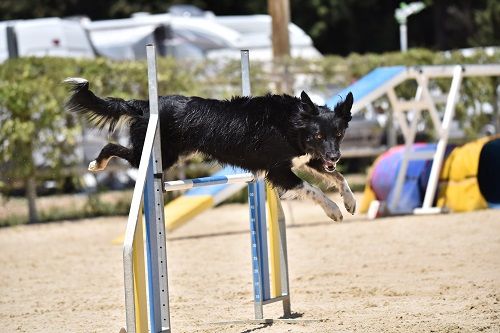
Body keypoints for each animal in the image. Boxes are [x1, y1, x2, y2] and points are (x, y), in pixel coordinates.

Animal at [65, 78, 356, 220]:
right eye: (318, 135)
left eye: (339, 134)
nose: (335, 156)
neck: (292, 123)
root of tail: (144, 105)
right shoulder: (279, 170)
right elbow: (313, 188)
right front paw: (333, 210)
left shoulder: (307, 158)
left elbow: (338, 177)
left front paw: (350, 202)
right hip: (153, 156)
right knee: (112, 145)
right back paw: (97, 163)